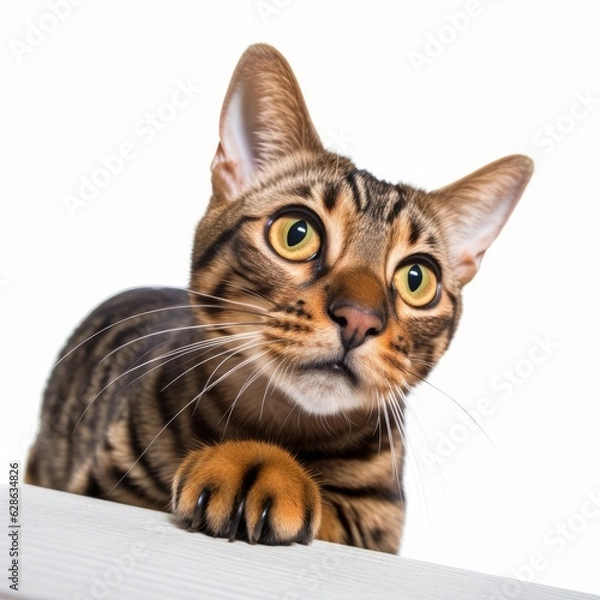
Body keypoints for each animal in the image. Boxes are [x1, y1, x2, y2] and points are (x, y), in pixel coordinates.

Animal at [24, 45, 536, 552]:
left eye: (416, 279)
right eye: (297, 233)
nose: (359, 319)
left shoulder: (381, 522)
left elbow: (337, 513)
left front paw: (267, 469)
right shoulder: (101, 482)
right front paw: (247, 460)